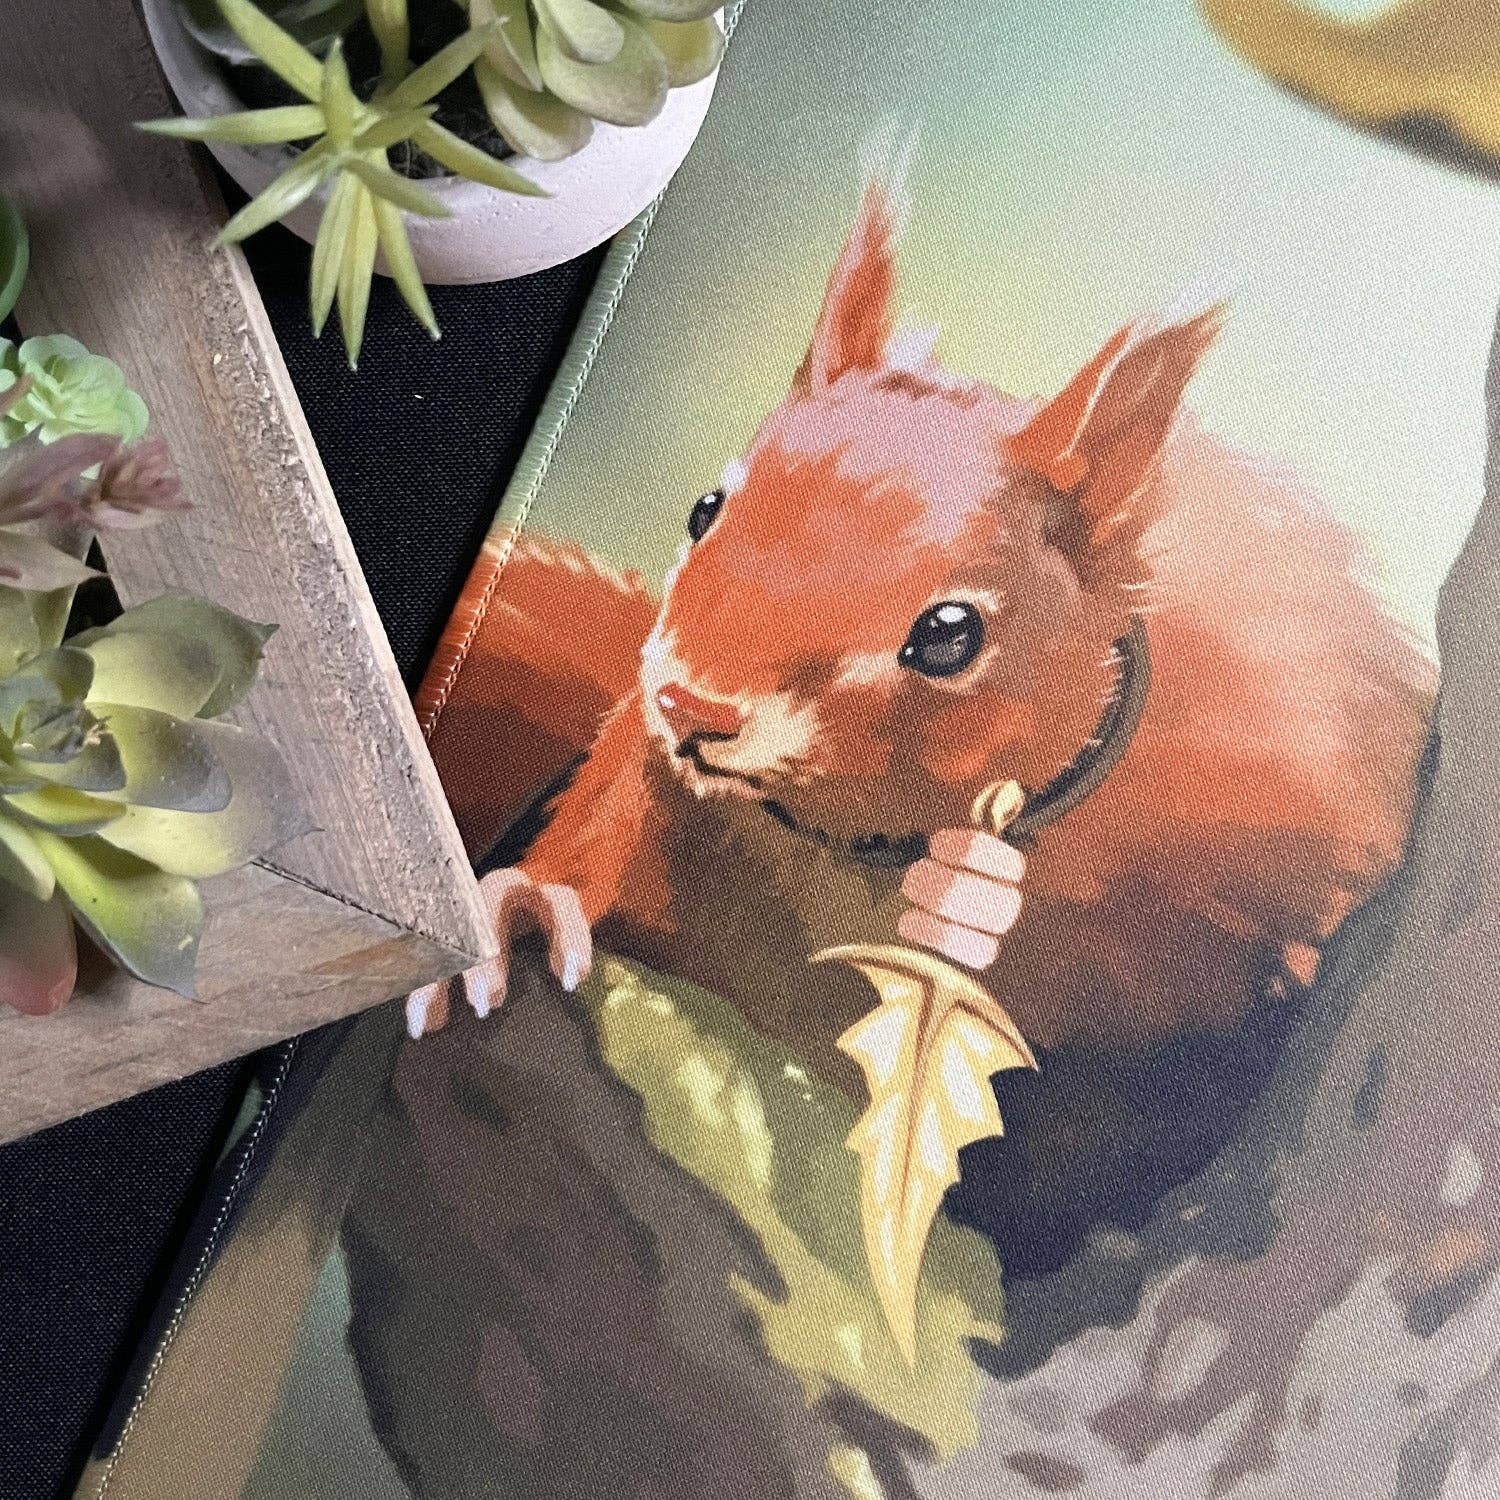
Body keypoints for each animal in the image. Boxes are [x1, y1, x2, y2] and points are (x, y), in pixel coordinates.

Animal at [408, 167, 1433, 1272]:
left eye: (948, 633)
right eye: (704, 509)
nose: (691, 704)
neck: (871, 855)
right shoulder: (662, 793)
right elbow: (608, 823)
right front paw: (523, 903)